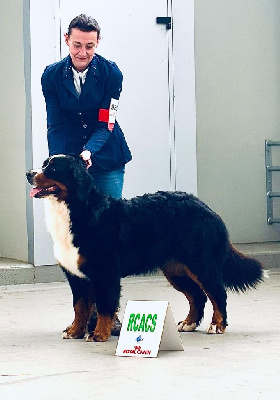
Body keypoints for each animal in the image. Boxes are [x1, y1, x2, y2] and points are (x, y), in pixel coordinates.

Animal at [26, 155, 264, 342]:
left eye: (53, 168)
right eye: (44, 164)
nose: (29, 173)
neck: (78, 210)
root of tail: (207, 208)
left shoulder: (105, 273)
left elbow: (104, 306)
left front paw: (99, 334)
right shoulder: (76, 275)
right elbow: (80, 307)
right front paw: (75, 331)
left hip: (202, 264)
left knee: (217, 294)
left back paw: (217, 325)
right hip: (176, 270)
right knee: (197, 296)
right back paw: (188, 323)